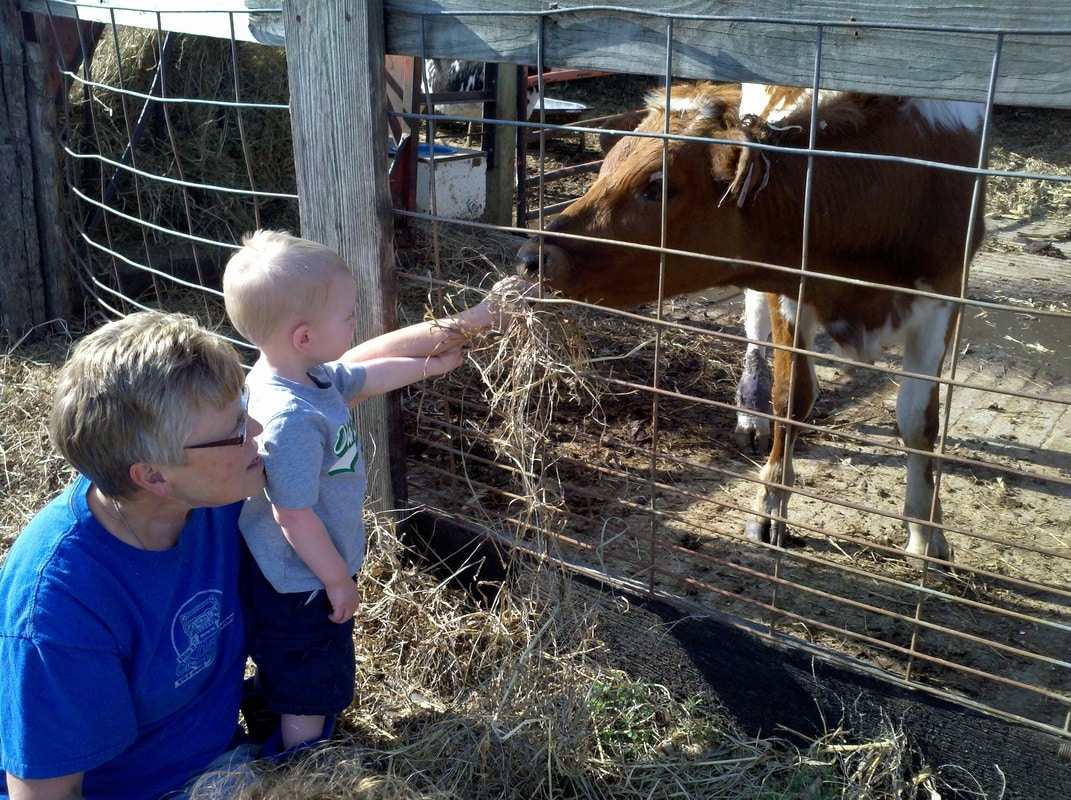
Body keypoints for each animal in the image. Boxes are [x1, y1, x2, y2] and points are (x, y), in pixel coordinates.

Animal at [518, 81, 985, 561]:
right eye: (604, 168)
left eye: (658, 186)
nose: (532, 256)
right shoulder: (791, 286)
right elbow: (791, 397)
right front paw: (770, 507)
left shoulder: (946, 298)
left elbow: (919, 421)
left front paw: (927, 532)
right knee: (756, 333)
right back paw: (751, 415)